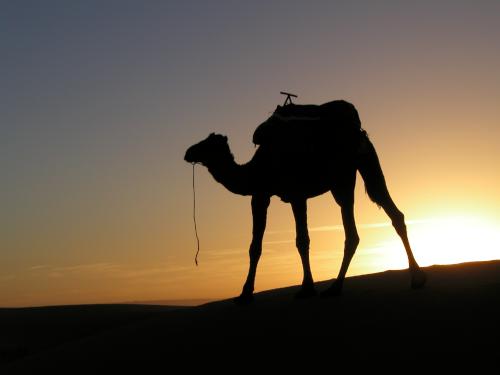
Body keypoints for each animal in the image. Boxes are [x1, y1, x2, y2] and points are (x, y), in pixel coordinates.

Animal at [184, 100, 426, 306]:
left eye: (207, 144)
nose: (188, 152)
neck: (257, 169)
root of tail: (357, 130)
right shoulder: (262, 195)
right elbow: (255, 246)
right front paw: (245, 294)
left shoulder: (295, 193)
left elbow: (301, 240)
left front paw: (306, 288)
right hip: (362, 165)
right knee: (388, 213)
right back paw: (414, 278)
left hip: (344, 176)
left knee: (357, 228)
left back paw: (338, 287)